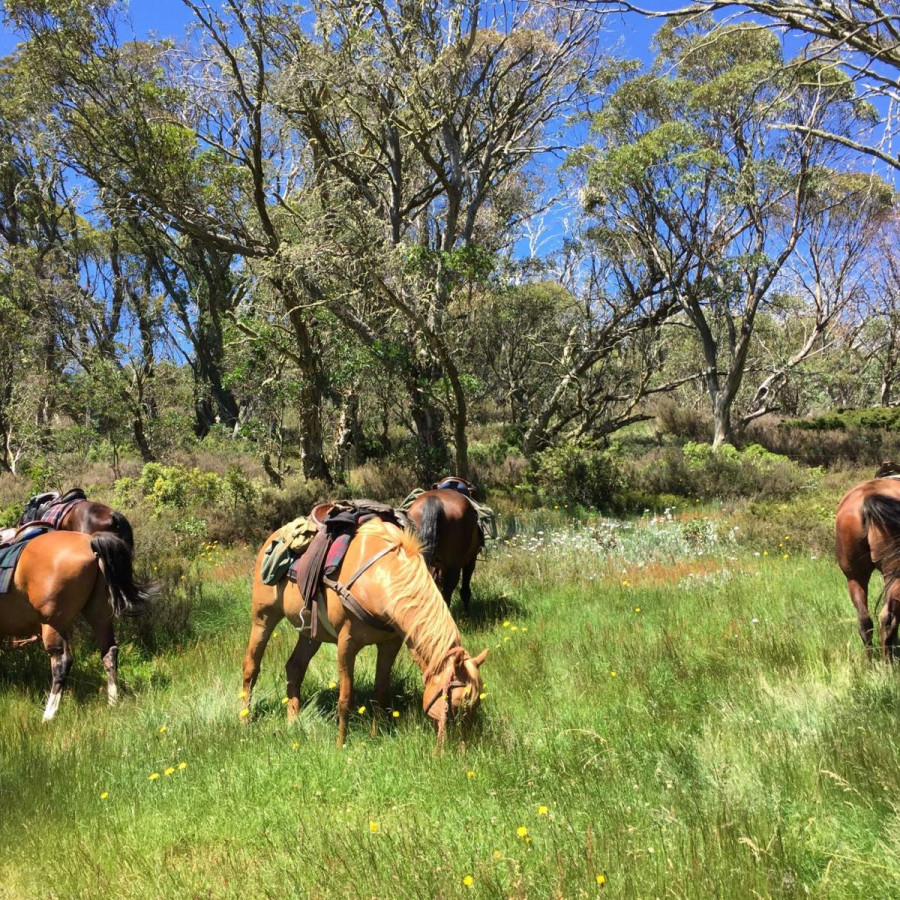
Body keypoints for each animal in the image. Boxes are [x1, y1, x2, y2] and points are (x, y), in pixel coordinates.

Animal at [0, 536, 153, 716]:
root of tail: (90, 542)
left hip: (52, 624)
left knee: (62, 662)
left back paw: (49, 714)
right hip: (100, 617)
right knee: (110, 653)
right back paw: (112, 702)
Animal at [243, 516, 488, 748]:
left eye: (476, 704)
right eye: (455, 704)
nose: (462, 748)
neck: (380, 578)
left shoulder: (390, 644)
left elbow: (380, 692)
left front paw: (374, 734)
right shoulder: (346, 643)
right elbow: (345, 698)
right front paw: (341, 744)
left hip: (311, 633)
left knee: (295, 667)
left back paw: (293, 721)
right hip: (263, 618)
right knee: (251, 667)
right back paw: (245, 720)